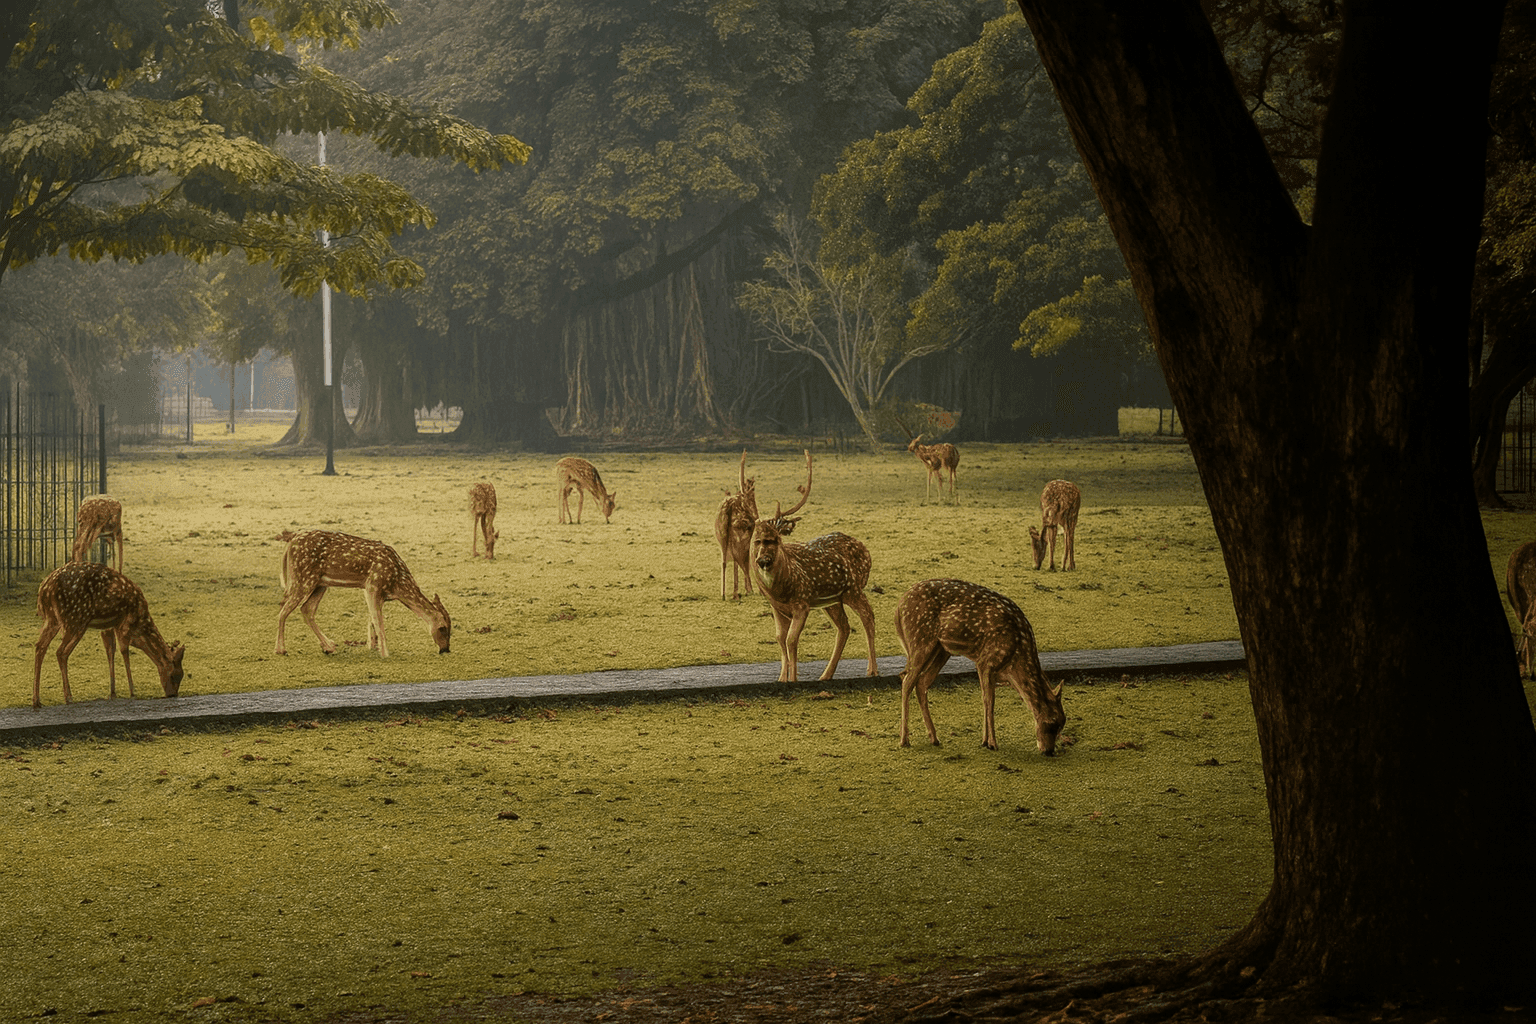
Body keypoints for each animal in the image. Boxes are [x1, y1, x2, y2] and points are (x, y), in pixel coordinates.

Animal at [32, 561, 185, 709]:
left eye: (182, 676)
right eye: (174, 675)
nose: (172, 695)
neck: (141, 626)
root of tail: (45, 588)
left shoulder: (108, 626)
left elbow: (110, 651)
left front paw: (112, 693)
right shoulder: (126, 623)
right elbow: (124, 651)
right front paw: (132, 691)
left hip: (52, 619)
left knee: (40, 646)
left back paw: (37, 700)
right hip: (76, 619)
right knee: (61, 652)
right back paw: (68, 697)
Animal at [275, 530, 451, 658]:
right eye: (443, 628)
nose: (446, 649)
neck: (397, 585)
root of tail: (292, 540)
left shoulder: (374, 591)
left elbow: (372, 619)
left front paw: (372, 647)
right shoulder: (373, 584)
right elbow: (379, 622)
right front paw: (385, 654)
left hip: (320, 583)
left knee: (306, 609)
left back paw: (329, 647)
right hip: (302, 577)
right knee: (283, 608)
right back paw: (281, 650)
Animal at [715, 449, 812, 600]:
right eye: (778, 535)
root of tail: (729, 506)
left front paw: (741, 591)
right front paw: (753, 590)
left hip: (722, 535)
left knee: (725, 561)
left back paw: (726, 594)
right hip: (739, 535)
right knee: (741, 561)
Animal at [750, 484, 876, 682]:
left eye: (776, 539)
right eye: (757, 540)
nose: (763, 560)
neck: (780, 590)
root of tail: (865, 550)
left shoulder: (802, 601)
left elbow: (791, 639)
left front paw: (793, 679)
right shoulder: (775, 607)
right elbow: (780, 638)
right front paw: (781, 679)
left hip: (853, 589)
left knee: (868, 617)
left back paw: (872, 671)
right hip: (832, 600)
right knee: (845, 626)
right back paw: (826, 675)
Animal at [894, 578, 1065, 754]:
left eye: (1062, 725)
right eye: (1052, 723)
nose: (1048, 751)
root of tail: (899, 607)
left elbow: (985, 700)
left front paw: (984, 741)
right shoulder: (986, 661)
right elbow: (989, 701)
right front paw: (992, 743)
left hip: (941, 649)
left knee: (921, 683)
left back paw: (934, 738)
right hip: (920, 639)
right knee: (906, 680)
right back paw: (904, 740)